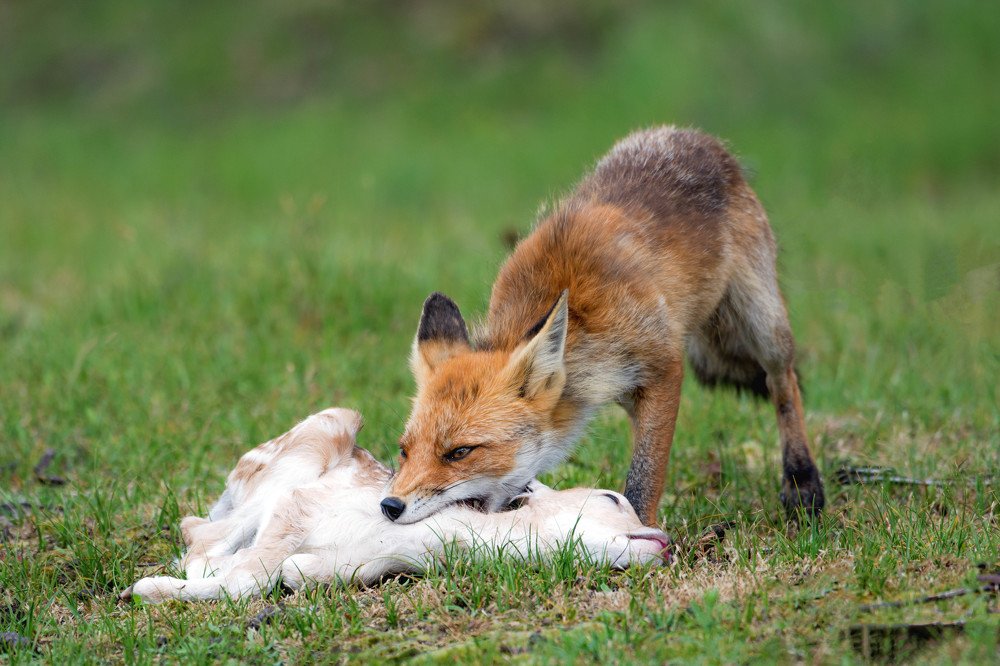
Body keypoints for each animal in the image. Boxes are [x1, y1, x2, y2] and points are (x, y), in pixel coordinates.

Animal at [380, 125, 824, 527]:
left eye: (460, 452)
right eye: (404, 450)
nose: (389, 506)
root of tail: (695, 137)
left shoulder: (663, 369)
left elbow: (644, 476)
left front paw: (638, 533)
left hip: (763, 323)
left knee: (782, 382)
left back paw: (802, 480)